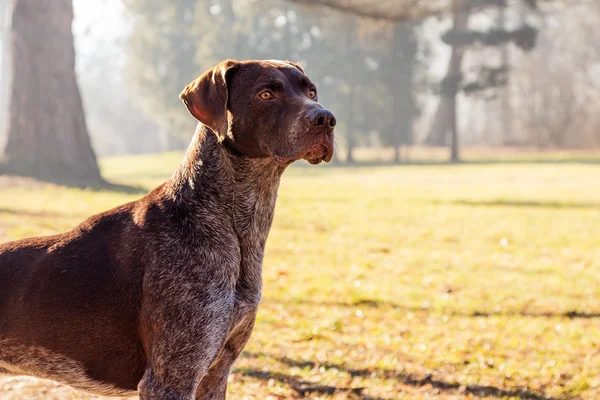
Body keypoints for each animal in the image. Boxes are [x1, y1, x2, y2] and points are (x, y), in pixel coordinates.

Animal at [0, 60, 338, 400]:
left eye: (311, 92)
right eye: (266, 94)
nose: (326, 118)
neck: (233, 226)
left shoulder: (215, 375)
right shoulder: (170, 379)